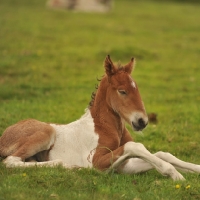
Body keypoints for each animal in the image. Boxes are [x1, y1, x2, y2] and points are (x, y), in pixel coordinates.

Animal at [0, 55, 200, 180]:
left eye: (137, 88)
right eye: (122, 91)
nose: (142, 121)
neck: (106, 126)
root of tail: (4, 135)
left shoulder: (123, 167)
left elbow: (161, 154)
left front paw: (195, 169)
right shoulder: (97, 162)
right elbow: (134, 146)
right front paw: (175, 174)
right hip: (47, 131)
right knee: (10, 161)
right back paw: (67, 166)